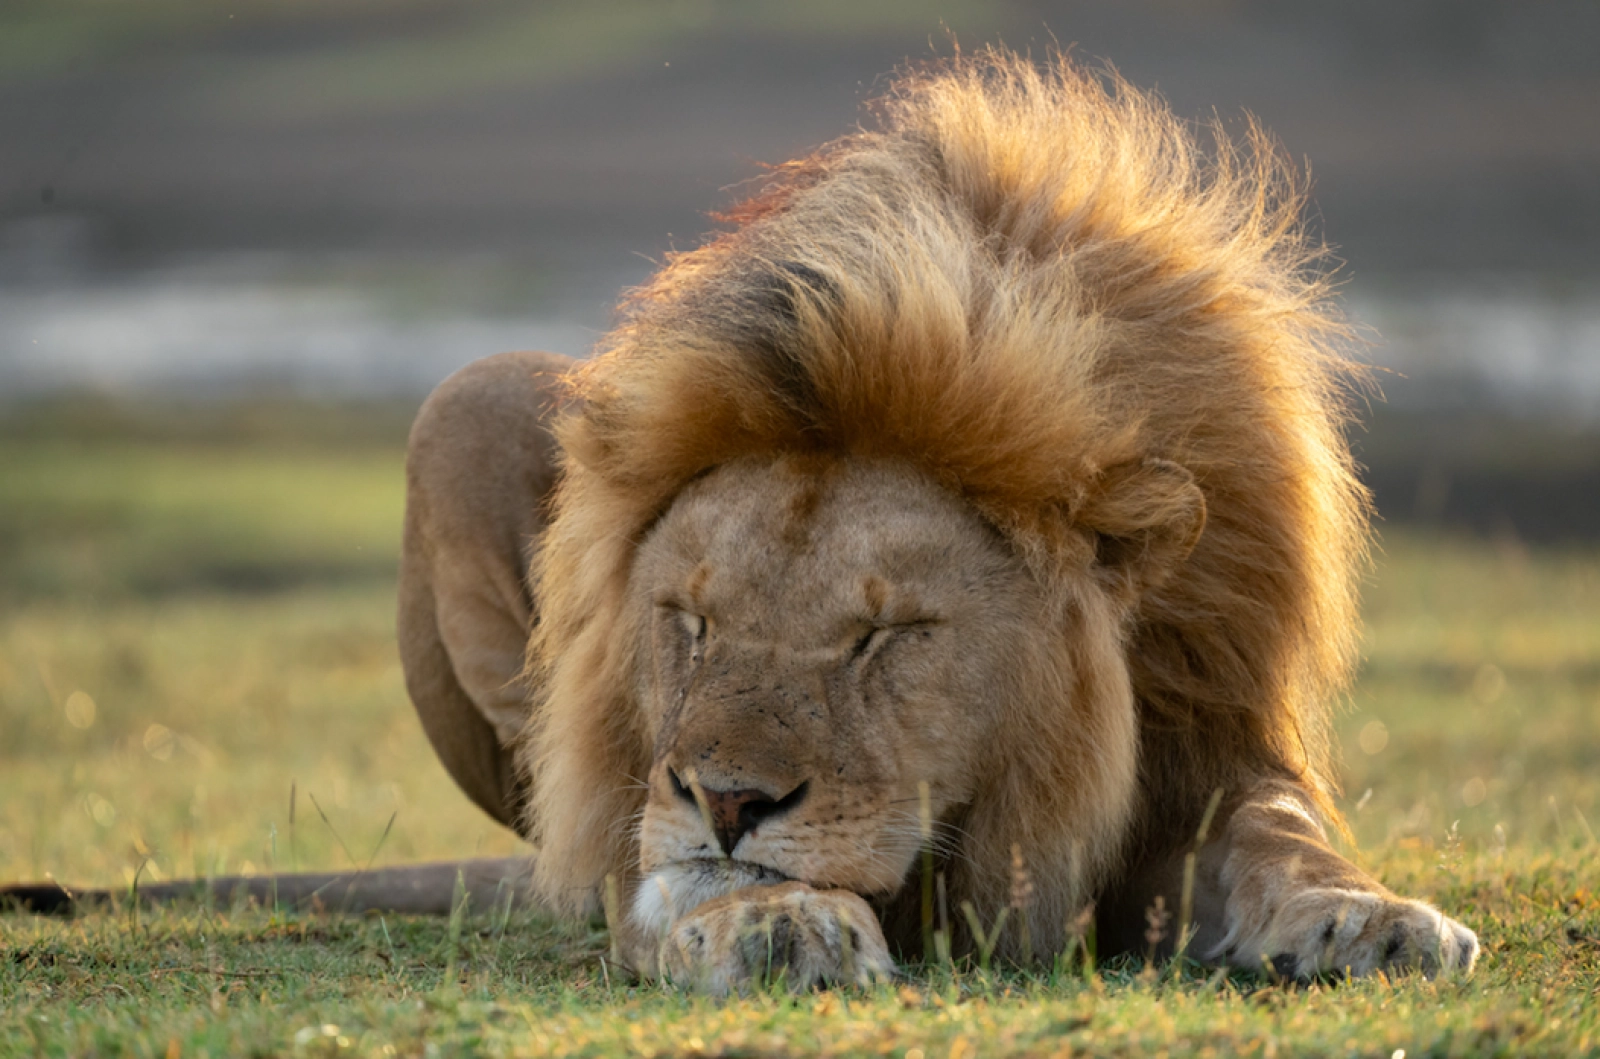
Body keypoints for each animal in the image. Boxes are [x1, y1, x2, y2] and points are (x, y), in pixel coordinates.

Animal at [4, 52, 1476, 990]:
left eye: (890, 636)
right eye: (689, 622)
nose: (728, 799)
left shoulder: (1209, 732)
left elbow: (1281, 838)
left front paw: (1371, 918)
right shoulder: (638, 813)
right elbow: (670, 869)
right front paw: (774, 919)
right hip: (460, 401)